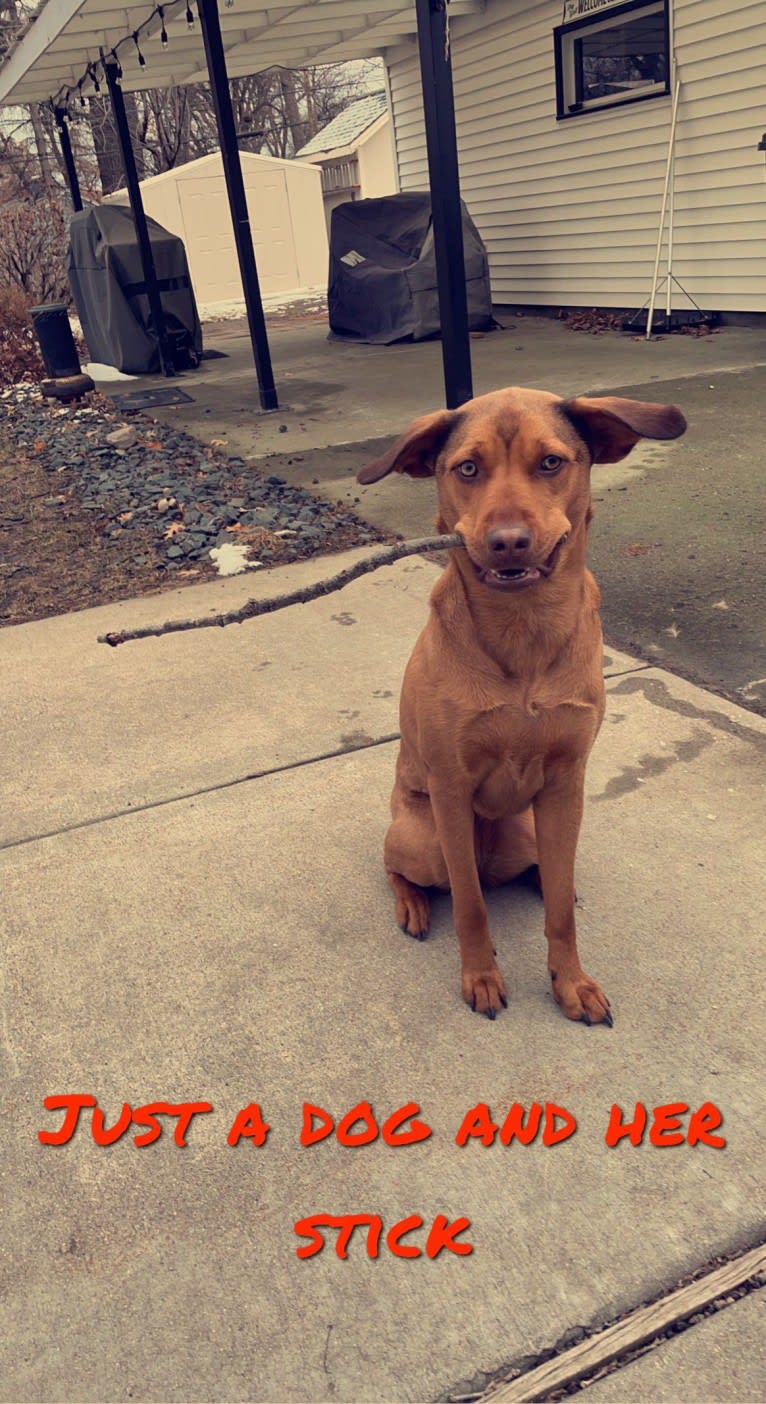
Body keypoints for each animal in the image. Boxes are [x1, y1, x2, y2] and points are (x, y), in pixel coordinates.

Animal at [357, 384, 684, 1022]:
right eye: (467, 468)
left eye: (552, 462)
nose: (507, 541)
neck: (523, 628)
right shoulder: (451, 789)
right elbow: (470, 907)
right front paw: (481, 976)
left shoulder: (564, 785)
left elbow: (557, 912)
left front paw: (570, 981)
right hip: (424, 838)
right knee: (406, 870)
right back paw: (412, 904)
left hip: (528, 829)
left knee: (542, 874)